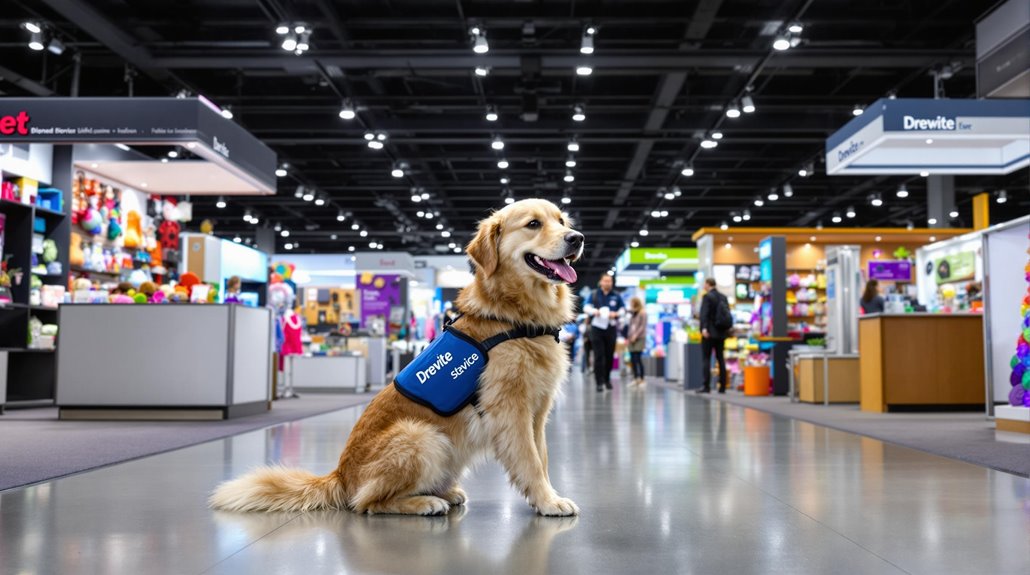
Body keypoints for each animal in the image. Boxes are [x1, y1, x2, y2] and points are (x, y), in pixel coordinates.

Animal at [210, 199, 585, 519]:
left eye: (562, 221)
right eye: (533, 224)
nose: (577, 238)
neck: (515, 317)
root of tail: (340, 476)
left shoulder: (537, 411)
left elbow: (542, 457)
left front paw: (548, 496)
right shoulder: (511, 409)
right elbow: (531, 461)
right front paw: (548, 501)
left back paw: (444, 493)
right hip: (421, 435)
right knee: (366, 503)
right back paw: (424, 503)